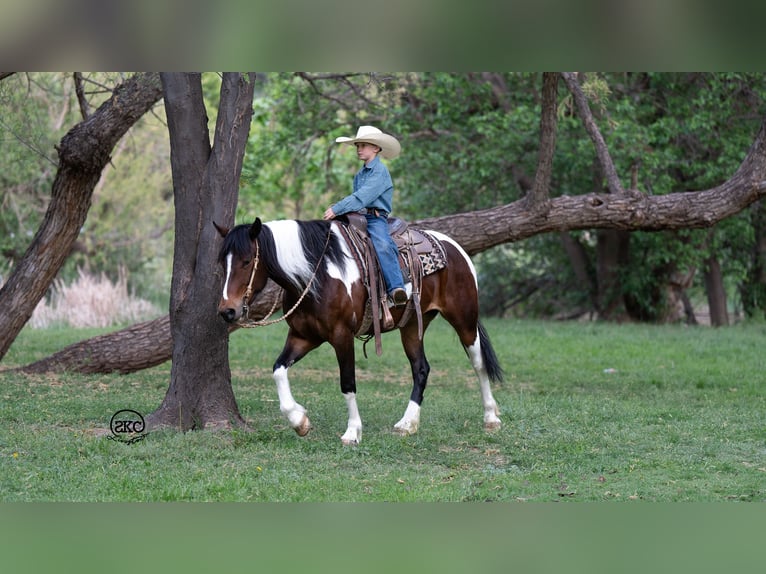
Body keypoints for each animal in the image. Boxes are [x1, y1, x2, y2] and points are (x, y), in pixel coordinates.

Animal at [214, 218, 504, 448]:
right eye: (222, 263)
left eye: (246, 261)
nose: (227, 311)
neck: (317, 274)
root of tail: (455, 248)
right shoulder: (303, 336)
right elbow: (278, 370)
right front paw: (299, 420)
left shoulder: (341, 336)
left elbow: (348, 383)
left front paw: (353, 432)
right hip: (412, 327)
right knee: (421, 369)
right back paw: (408, 423)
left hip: (464, 320)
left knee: (478, 363)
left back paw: (491, 418)